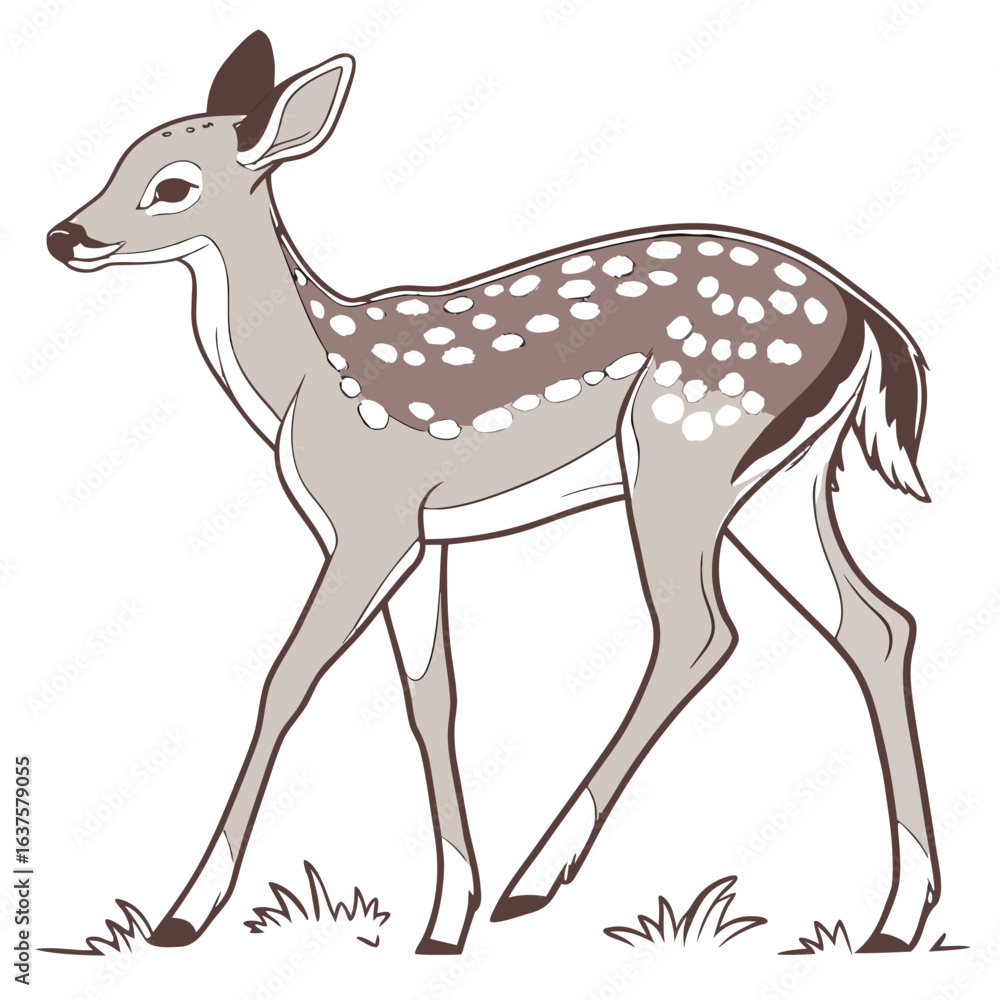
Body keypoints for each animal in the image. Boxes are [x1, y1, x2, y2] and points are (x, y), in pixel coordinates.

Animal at [47, 31, 939, 955]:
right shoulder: (425, 539)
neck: (303, 385)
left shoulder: (372, 521)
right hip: (779, 484)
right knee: (876, 624)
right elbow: (430, 697)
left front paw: (184, 913)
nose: (62, 235)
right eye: (118, 158)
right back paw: (897, 918)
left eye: (173, 185)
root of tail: (868, 318)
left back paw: (535, 879)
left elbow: (287, 678)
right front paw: (444, 921)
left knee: (701, 631)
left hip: (682, 449)